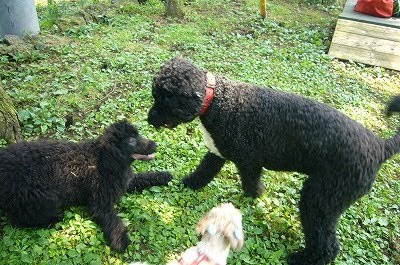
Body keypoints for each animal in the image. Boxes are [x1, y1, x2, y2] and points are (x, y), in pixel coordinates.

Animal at [0, 120, 172, 252]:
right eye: (131, 140)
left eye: (138, 134)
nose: (155, 145)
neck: (103, 159)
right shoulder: (100, 204)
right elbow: (113, 220)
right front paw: (121, 240)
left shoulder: (125, 181)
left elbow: (144, 177)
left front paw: (164, 176)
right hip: (41, 197)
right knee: (18, 220)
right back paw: (53, 219)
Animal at [147, 57, 400, 264]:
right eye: (155, 96)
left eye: (163, 99)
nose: (149, 119)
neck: (216, 100)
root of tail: (380, 146)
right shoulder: (218, 152)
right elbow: (203, 172)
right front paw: (187, 184)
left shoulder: (249, 162)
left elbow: (251, 185)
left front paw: (254, 198)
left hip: (320, 200)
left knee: (328, 245)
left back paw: (303, 259)